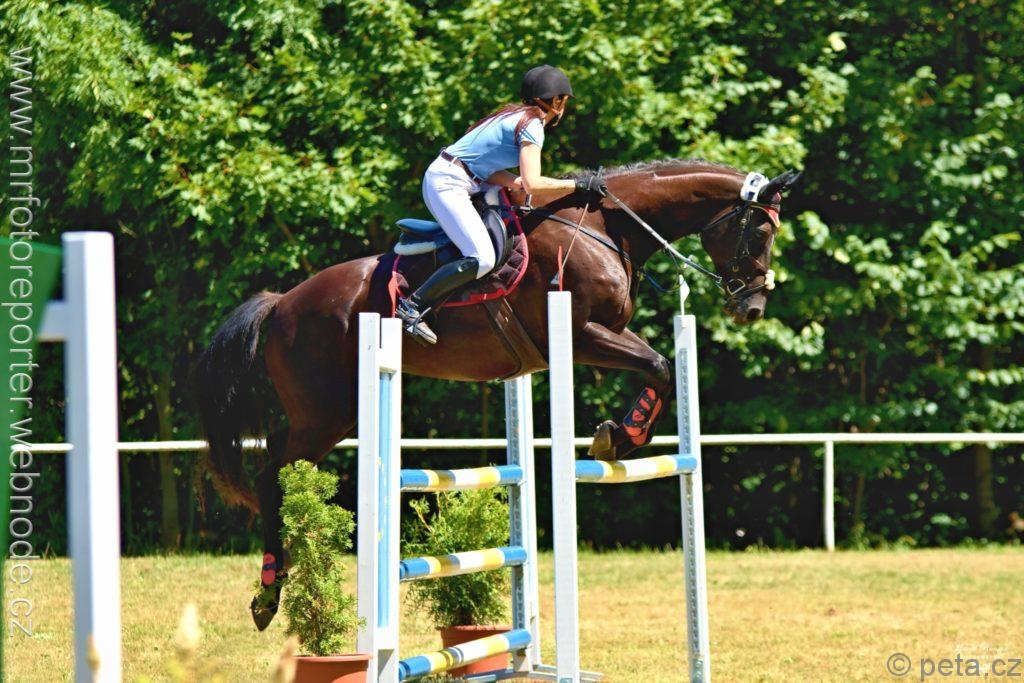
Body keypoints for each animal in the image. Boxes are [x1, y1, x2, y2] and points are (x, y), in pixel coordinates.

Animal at [193, 159, 800, 628]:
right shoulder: (579, 335)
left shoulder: (598, 335)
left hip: (332, 416)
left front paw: (617, 436)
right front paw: (617, 438)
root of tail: (281, 303)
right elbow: (657, 364)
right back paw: (269, 593)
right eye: (761, 233)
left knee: (278, 470)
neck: (606, 228)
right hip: (323, 413)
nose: (751, 307)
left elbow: (659, 367)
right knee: (272, 475)